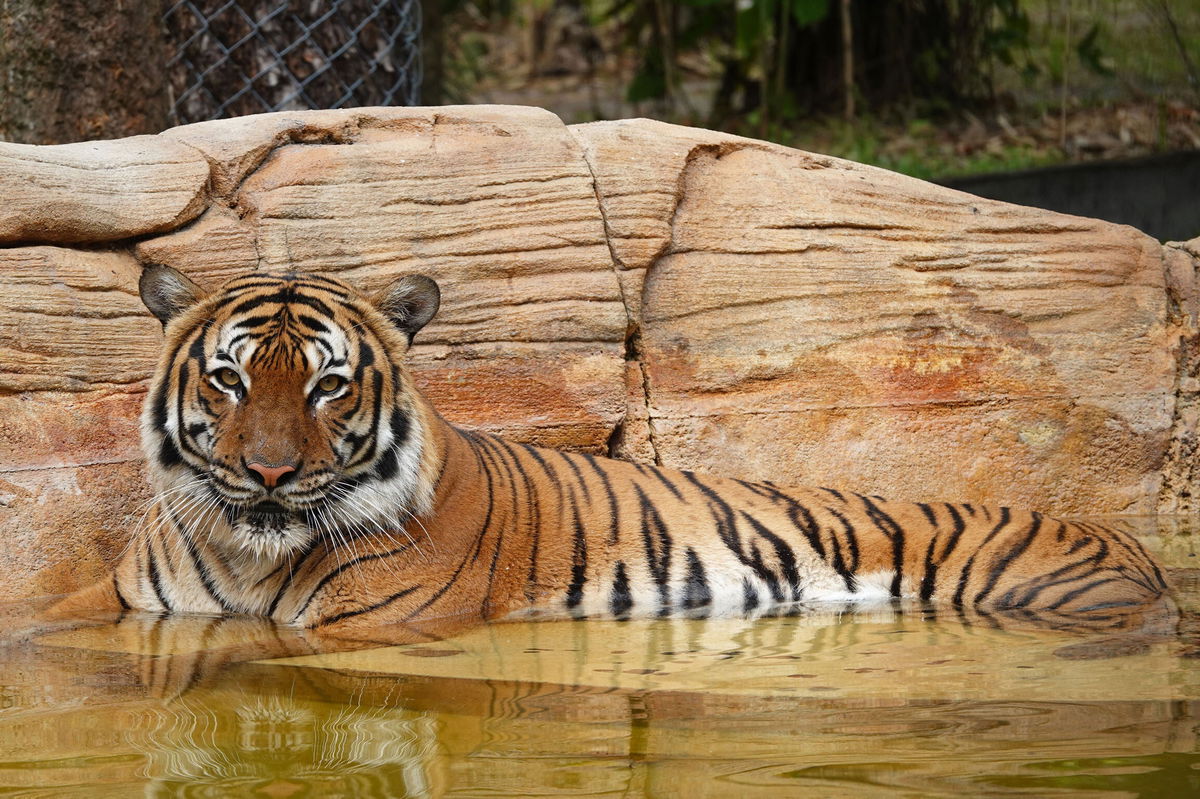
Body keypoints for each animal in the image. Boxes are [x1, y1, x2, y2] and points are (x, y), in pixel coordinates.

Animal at [51, 263, 1166, 633]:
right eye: (230, 379)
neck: (251, 552)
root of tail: (1140, 550)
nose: (271, 472)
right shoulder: (122, 601)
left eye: (328, 384)